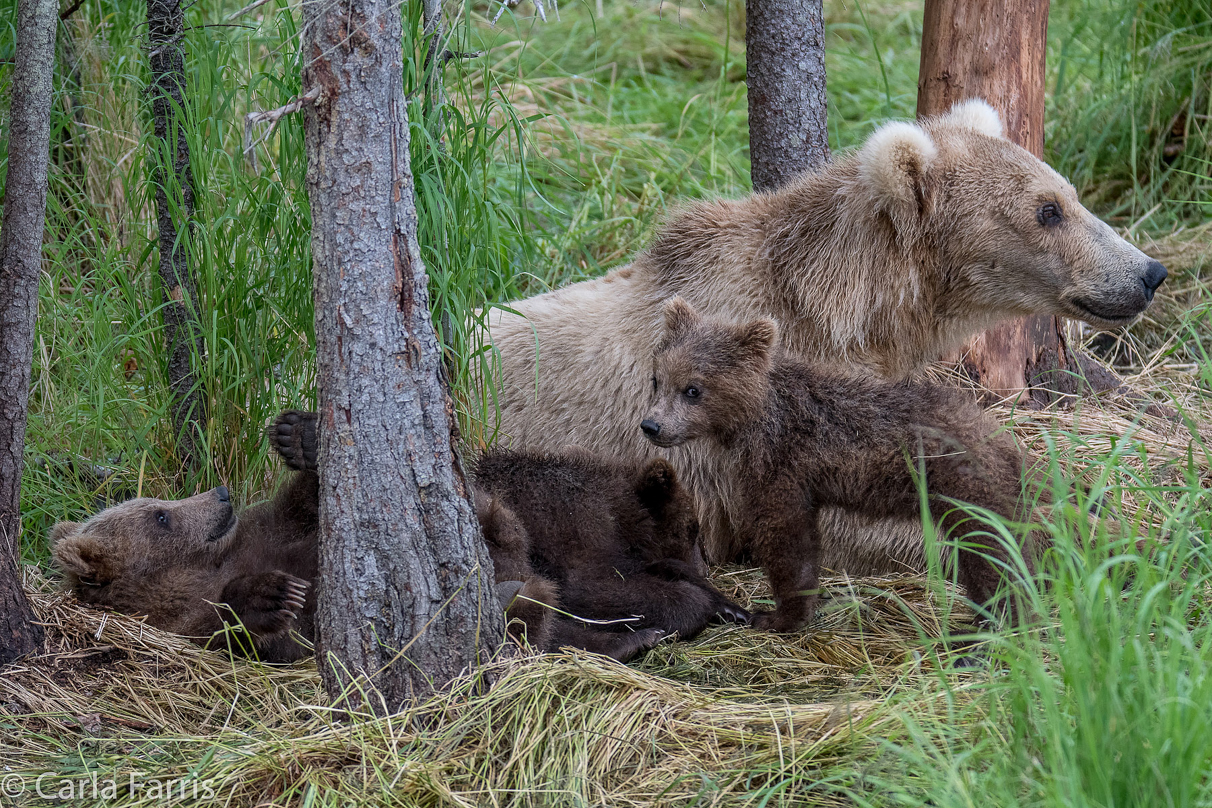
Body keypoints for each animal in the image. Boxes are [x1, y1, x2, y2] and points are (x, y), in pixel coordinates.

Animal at [482, 99, 1163, 569]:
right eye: (1048, 211)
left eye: (1070, 193)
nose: (1148, 273)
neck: (851, 315)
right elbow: (862, 518)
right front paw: (1100, 537)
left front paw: (1085, 492)